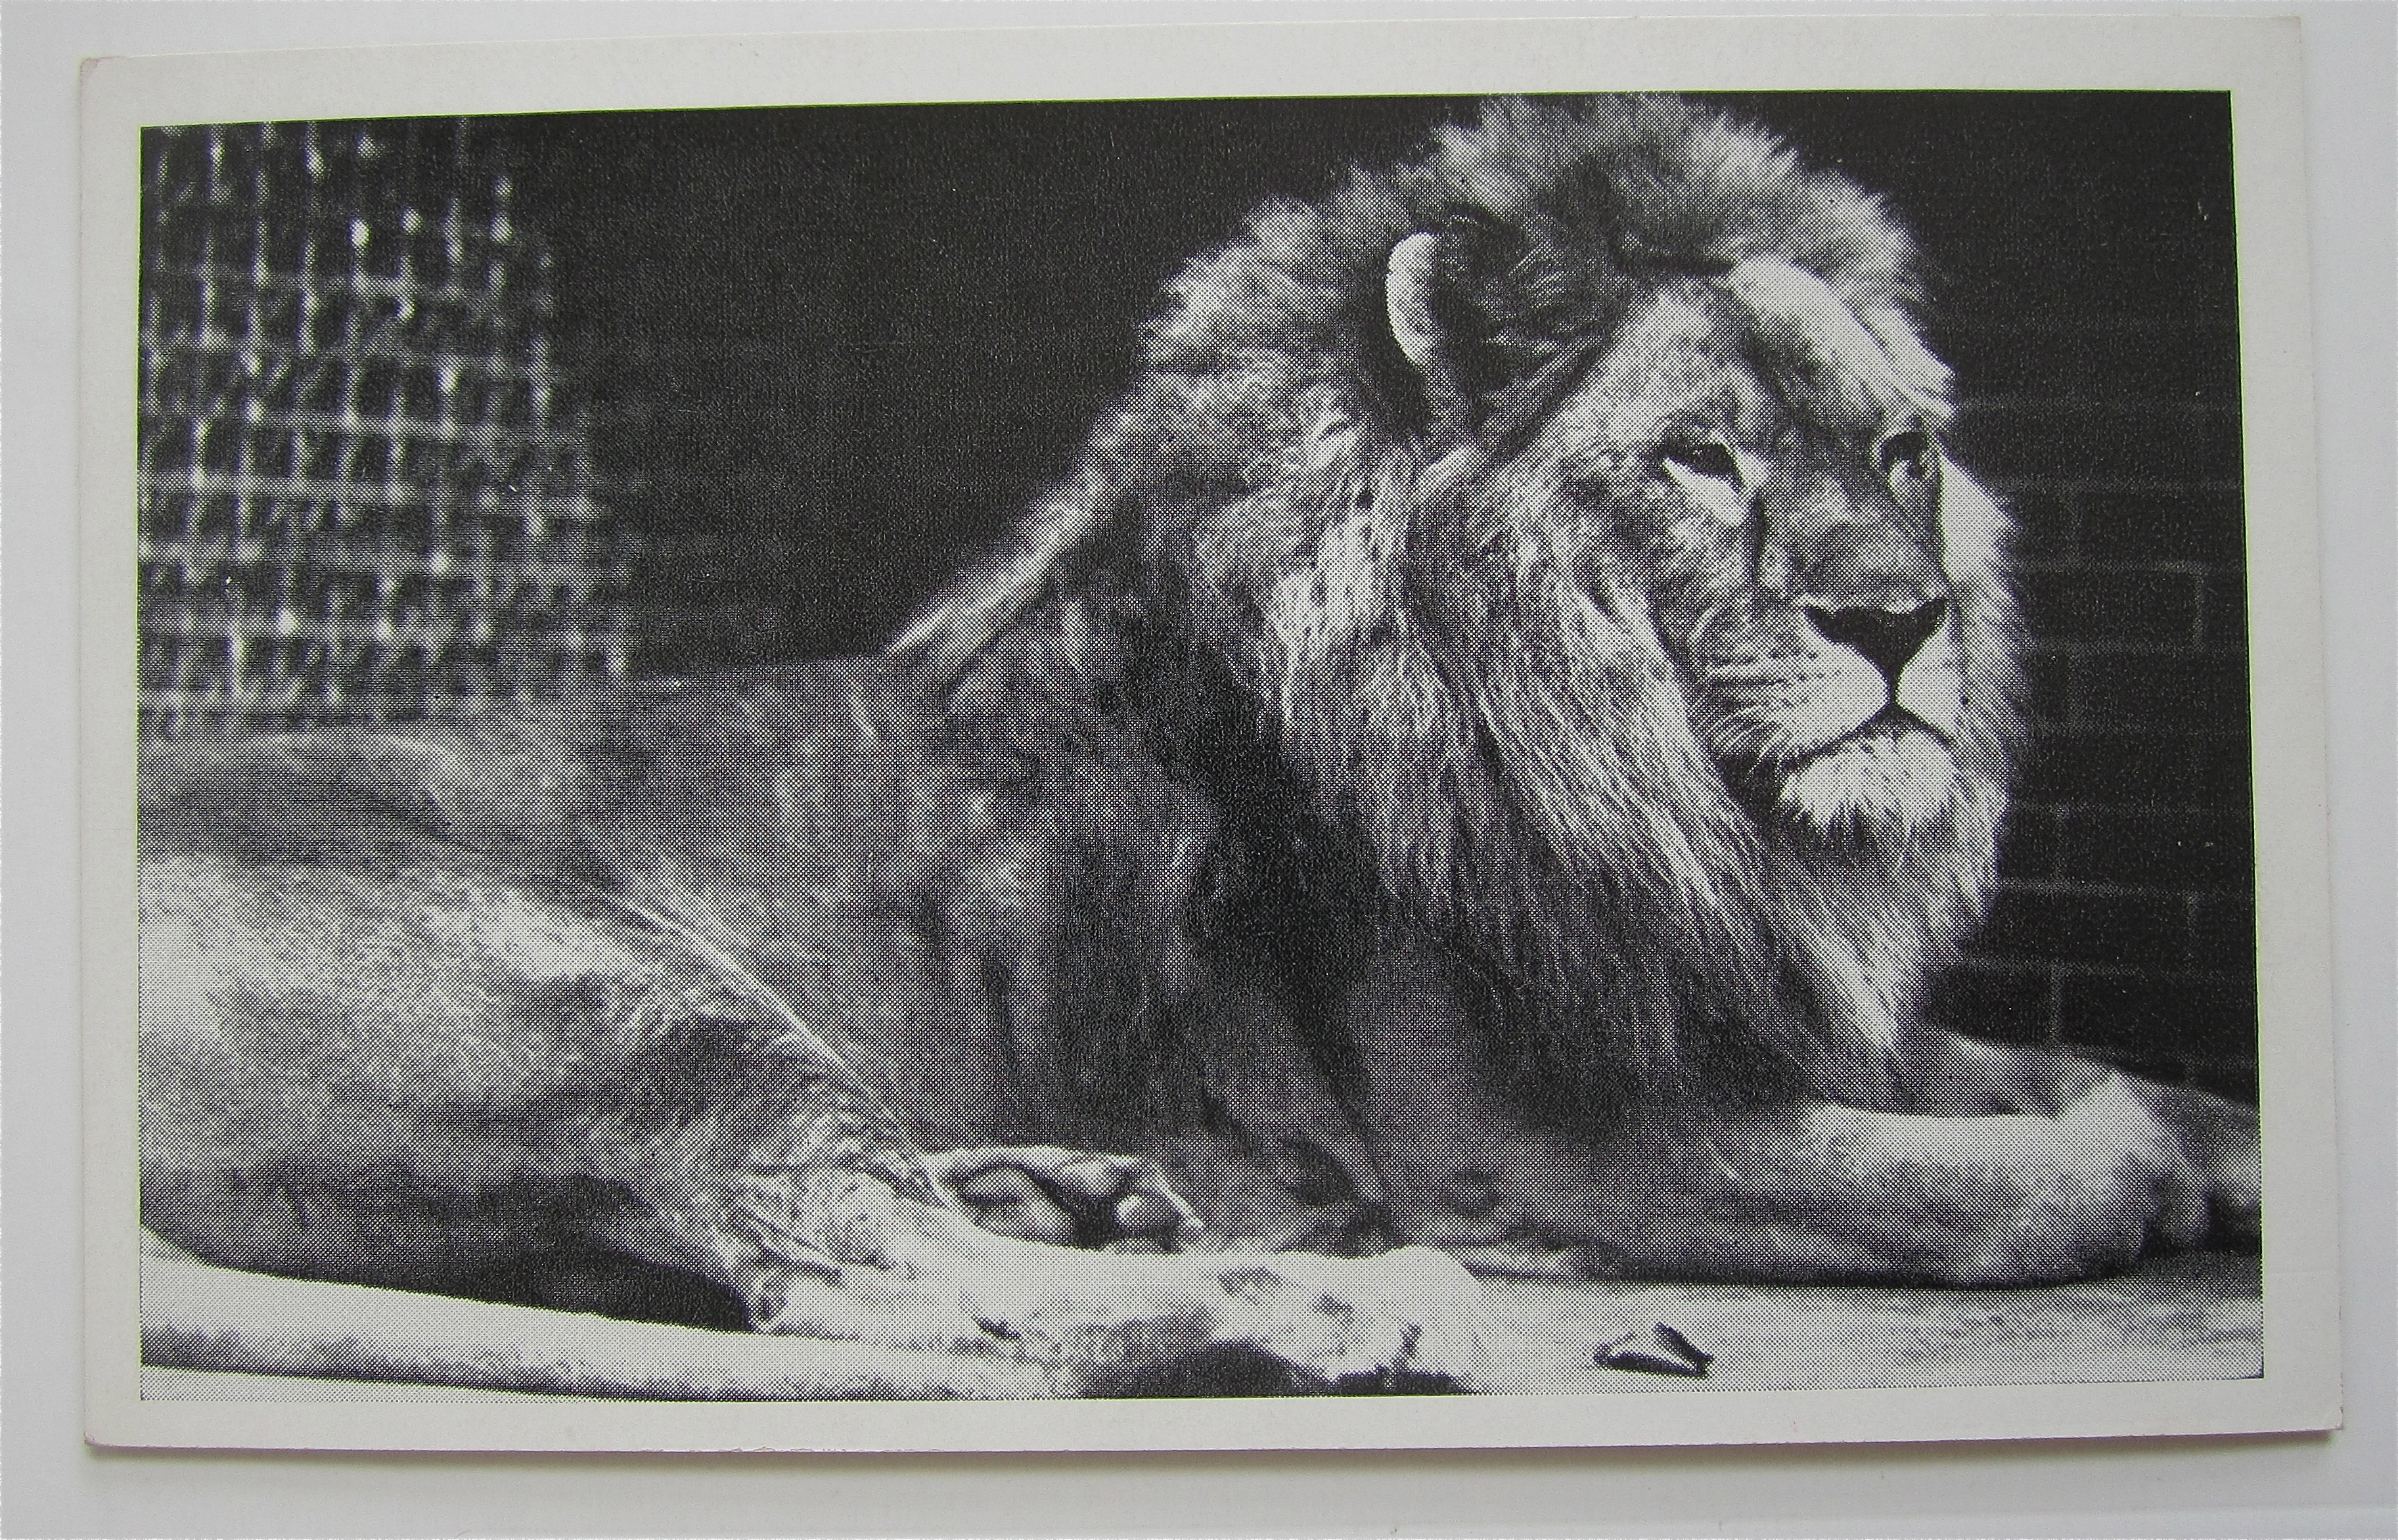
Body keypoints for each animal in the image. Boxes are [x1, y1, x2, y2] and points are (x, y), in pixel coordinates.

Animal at [137, 97, 2259, 1399]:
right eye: (1696, 455)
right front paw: (2131, 1165)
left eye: (1900, 452)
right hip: (615, 987)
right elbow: (1991, 1177)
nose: (1901, 621)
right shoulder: (1536, 1141)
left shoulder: (1726, 1004)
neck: (1663, 792)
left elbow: (2057, 1073)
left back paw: (1078, 1187)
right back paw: (1332, 1297)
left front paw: (2203, 1128)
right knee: (861, 1267)